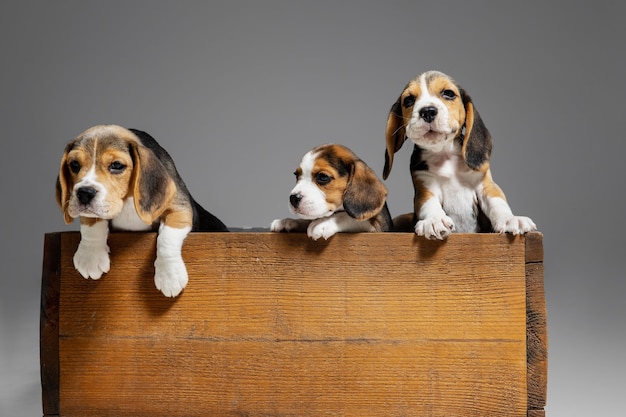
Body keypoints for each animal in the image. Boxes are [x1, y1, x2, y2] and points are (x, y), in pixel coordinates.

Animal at [56, 123, 227, 296]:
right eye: (74, 165)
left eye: (117, 165)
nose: (84, 193)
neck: (127, 201)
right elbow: (91, 222)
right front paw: (90, 255)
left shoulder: (179, 206)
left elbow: (168, 237)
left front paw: (169, 276)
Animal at [382, 70, 532, 239]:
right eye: (408, 100)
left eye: (448, 93)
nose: (427, 111)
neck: (444, 154)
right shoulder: (425, 187)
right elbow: (429, 204)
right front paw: (434, 220)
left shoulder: (486, 185)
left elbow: (497, 202)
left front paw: (510, 219)